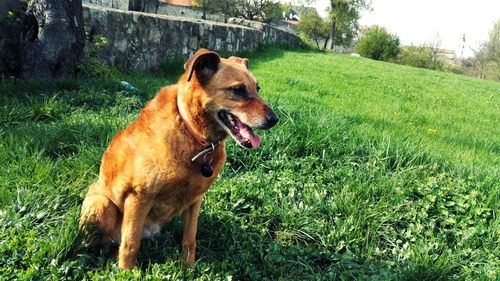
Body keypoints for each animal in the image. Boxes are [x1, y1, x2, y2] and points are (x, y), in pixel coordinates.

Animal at [80, 48, 280, 266]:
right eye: (238, 90)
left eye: (257, 88)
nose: (275, 120)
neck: (191, 133)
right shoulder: (138, 197)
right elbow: (130, 246)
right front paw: (127, 271)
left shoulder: (195, 200)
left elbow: (189, 239)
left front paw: (188, 267)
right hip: (102, 206)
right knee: (102, 244)